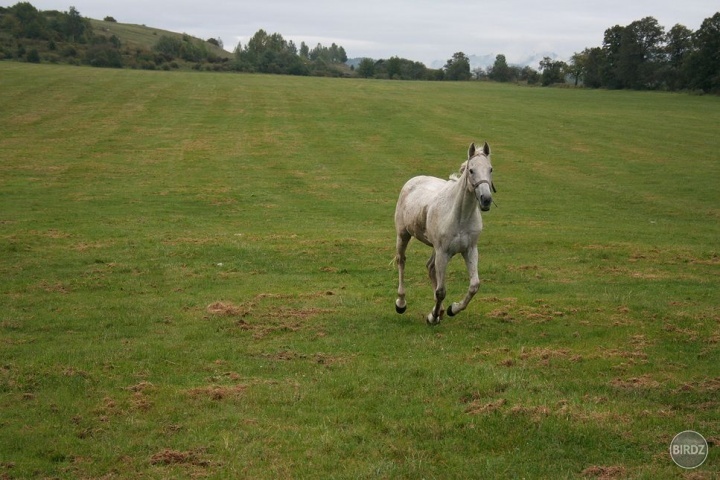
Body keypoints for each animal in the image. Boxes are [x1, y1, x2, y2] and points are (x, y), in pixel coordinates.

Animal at [394, 141, 496, 324]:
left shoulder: (470, 250)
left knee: (430, 267)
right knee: (401, 261)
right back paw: (401, 303)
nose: (486, 199)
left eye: (490, 169)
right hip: (403, 235)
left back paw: (440, 310)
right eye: (471, 170)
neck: (460, 216)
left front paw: (452, 309)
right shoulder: (443, 252)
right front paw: (432, 317)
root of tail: (413, 180)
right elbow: (441, 291)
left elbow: (474, 286)